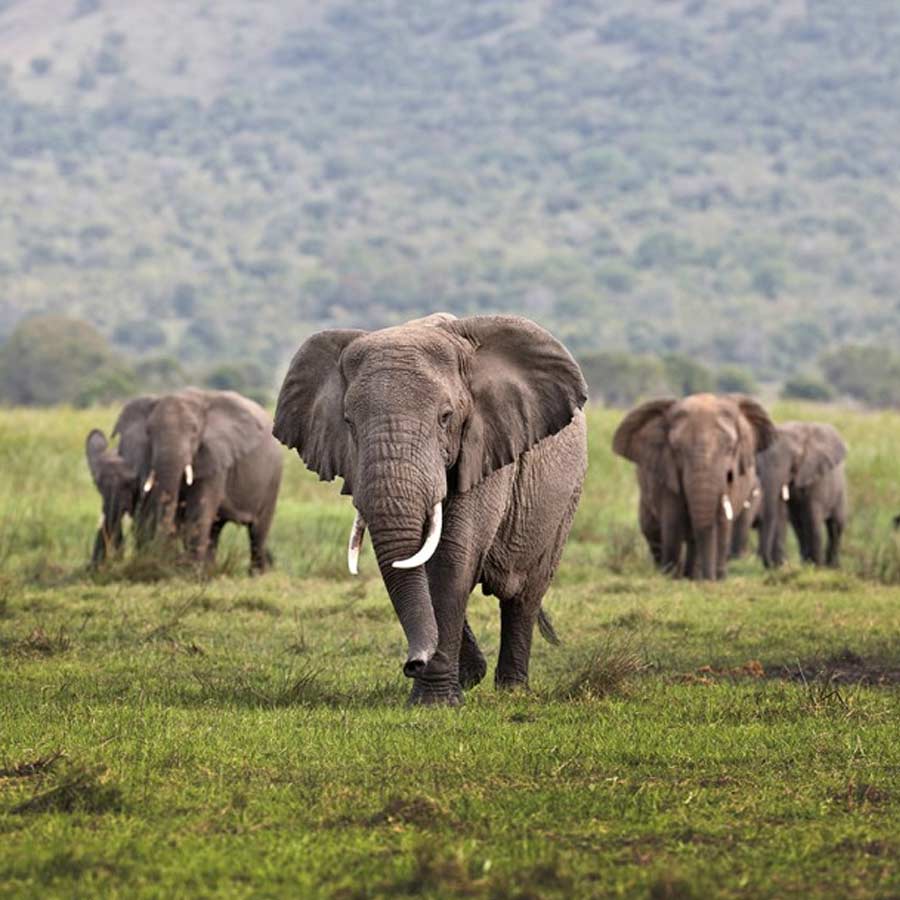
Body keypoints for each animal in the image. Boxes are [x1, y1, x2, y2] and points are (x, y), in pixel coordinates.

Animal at [86, 388, 283, 572]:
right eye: (149, 432)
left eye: (195, 431)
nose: (158, 559)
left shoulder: (215, 455)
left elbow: (199, 509)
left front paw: (187, 572)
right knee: (215, 529)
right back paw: (208, 570)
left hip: (273, 477)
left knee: (257, 532)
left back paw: (255, 574)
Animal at [273, 313, 588, 705]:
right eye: (348, 422)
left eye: (445, 417)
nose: (413, 663)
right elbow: (417, 561)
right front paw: (454, 684)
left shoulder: (485, 444)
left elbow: (452, 557)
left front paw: (435, 702)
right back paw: (472, 676)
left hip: (565, 499)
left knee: (524, 594)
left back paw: (512, 690)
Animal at [612, 393, 776, 580]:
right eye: (676, 449)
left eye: (730, 448)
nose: (712, 578)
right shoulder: (667, 473)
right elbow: (672, 521)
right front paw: (672, 577)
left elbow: (721, 522)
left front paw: (703, 578)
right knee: (652, 530)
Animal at [756, 421, 847, 568]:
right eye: (758, 464)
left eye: (795, 458)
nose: (769, 563)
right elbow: (780, 515)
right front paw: (781, 567)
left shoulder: (815, 476)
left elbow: (812, 518)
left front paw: (817, 567)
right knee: (799, 527)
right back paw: (806, 563)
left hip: (841, 491)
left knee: (836, 525)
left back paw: (831, 567)